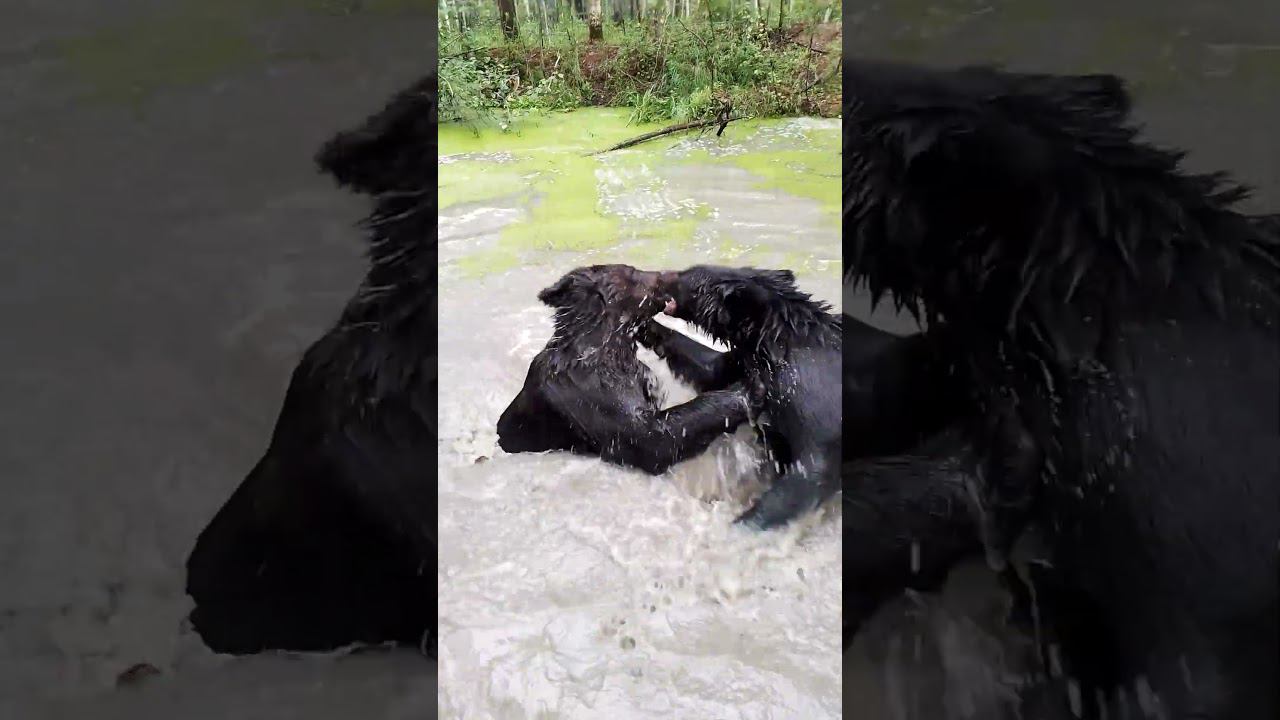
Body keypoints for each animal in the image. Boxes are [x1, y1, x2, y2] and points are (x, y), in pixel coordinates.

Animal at [496, 264, 755, 475]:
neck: (605, 347)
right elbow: (651, 439)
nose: (669, 275)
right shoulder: (588, 395)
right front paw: (746, 390)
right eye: (633, 271)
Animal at [646, 265, 841, 530]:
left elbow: (809, 473)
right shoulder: (747, 361)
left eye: (683, 277)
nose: (659, 275)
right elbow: (712, 368)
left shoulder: (814, 396)